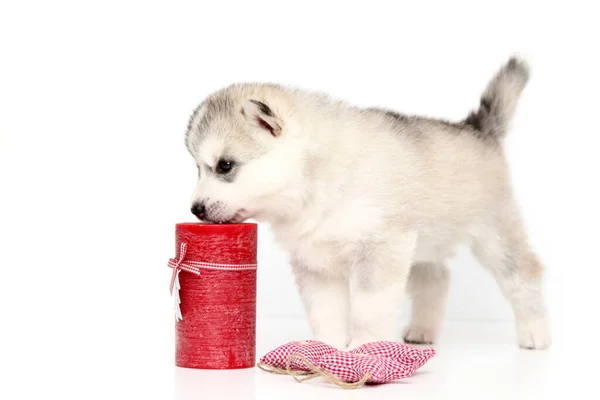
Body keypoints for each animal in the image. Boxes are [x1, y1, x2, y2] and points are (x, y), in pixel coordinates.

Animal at [185, 57, 552, 350]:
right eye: (198, 169)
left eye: (225, 166)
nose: (196, 209)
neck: (315, 181)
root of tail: (477, 129)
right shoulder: (315, 262)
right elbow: (324, 310)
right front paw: (328, 349)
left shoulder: (380, 249)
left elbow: (369, 309)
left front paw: (365, 350)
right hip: (424, 240)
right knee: (435, 279)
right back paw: (423, 330)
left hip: (494, 232)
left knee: (524, 273)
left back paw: (535, 333)